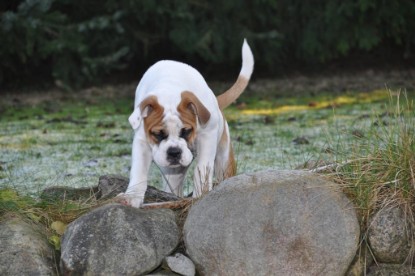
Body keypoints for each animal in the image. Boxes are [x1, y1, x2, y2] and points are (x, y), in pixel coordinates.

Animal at [117, 39, 254, 207]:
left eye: (186, 131)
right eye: (157, 134)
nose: (174, 152)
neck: (169, 91)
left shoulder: (207, 136)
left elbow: (202, 168)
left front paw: (200, 194)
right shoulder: (142, 141)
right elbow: (139, 171)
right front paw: (131, 197)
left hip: (224, 160)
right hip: (172, 173)